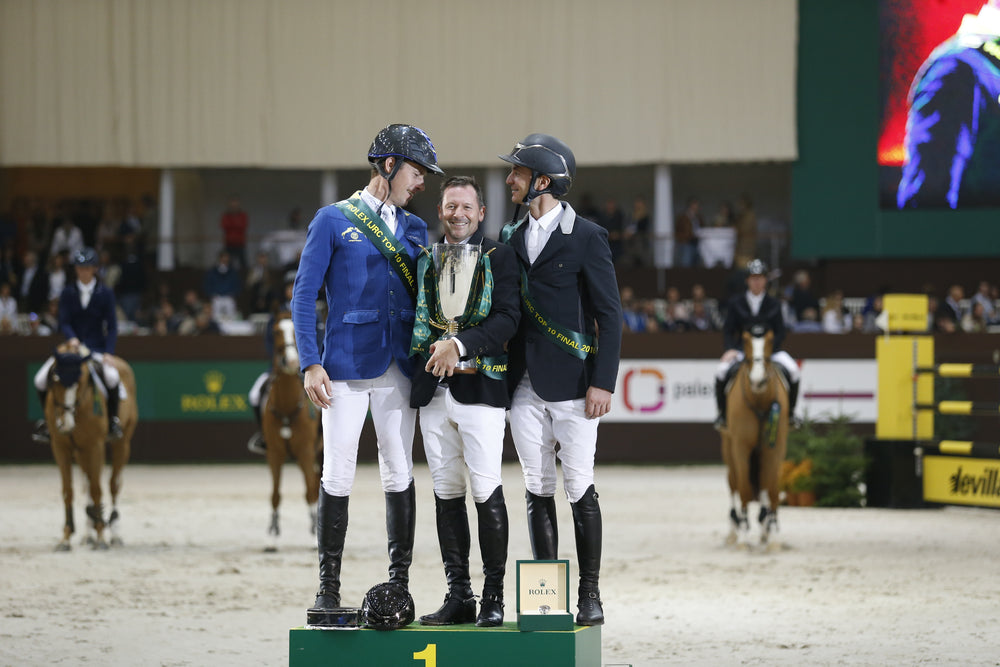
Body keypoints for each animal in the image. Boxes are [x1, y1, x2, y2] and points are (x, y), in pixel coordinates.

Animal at [45, 343, 138, 550]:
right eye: (55, 379)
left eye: (80, 382)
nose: (65, 424)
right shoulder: (60, 447)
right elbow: (68, 491)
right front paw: (65, 539)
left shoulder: (95, 446)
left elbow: (97, 489)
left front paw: (102, 537)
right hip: (81, 452)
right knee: (86, 484)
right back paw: (89, 533)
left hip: (122, 444)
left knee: (113, 484)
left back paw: (114, 534)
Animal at [260, 313, 322, 551]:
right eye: (277, 331)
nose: (292, 361)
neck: (287, 407)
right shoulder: (274, 455)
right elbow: (275, 495)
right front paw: (273, 537)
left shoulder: (305, 452)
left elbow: (310, 493)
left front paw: (314, 538)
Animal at [720, 328, 789, 550]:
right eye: (746, 343)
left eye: (769, 344)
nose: (758, 381)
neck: (758, 400)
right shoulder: (741, 447)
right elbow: (744, 489)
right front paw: (743, 536)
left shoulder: (774, 449)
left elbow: (772, 489)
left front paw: (772, 534)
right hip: (729, 450)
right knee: (733, 484)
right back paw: (733, 532)